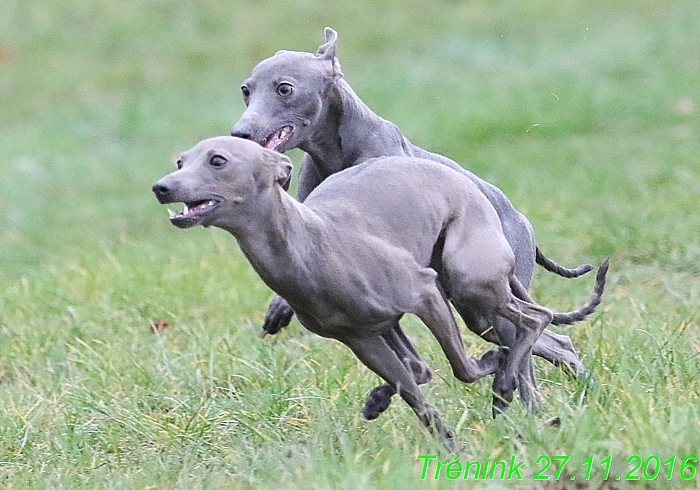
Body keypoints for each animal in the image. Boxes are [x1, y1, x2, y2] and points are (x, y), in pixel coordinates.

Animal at [152, 137, 600, 448]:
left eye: (218, 160)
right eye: (180, 161)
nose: (161, 187)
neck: (310, 245)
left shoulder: (425, 294)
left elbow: (462, 368)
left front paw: (494, 370)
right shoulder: (360, 338)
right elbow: (412, 388)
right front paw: (447, 444)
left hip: (469, 286)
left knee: (536, 319)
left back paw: (507, 380)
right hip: (464, 307)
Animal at [231, 27, 608, 414]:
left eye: (285, 88)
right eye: (246, 89)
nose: (240, 134)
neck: (337, 151)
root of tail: (523, 223)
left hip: (486, 294)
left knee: (528, 350)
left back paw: (529, 408)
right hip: (478, 310)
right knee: (555, 343)